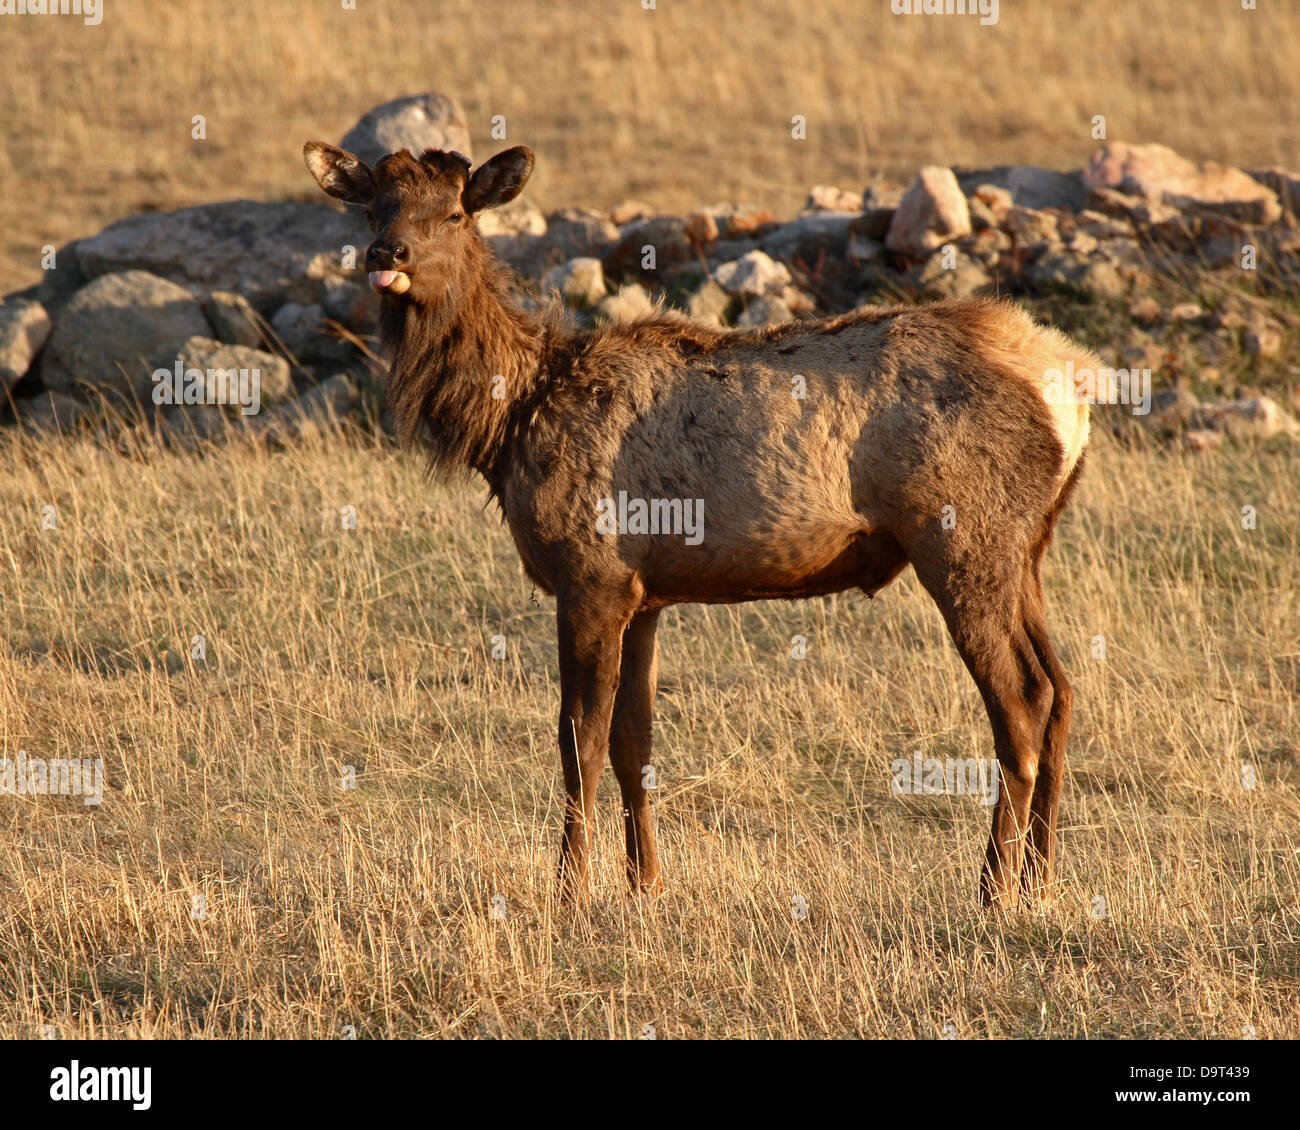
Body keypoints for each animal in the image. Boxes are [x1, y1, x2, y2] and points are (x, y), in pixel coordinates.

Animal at [303, 139, 1096, 909]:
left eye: (455, 214)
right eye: (374, 208)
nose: (386, 254)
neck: (508, 425)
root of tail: (1074, 385)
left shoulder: (590, 574)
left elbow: (579, 742)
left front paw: (570, 894)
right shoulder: (644, 592)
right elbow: (635, 743)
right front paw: (645, 883)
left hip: (961, 534)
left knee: (1021, 699)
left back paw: (993, 889)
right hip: (1026, 547)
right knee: (1061, 690)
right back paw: (1043, 880)